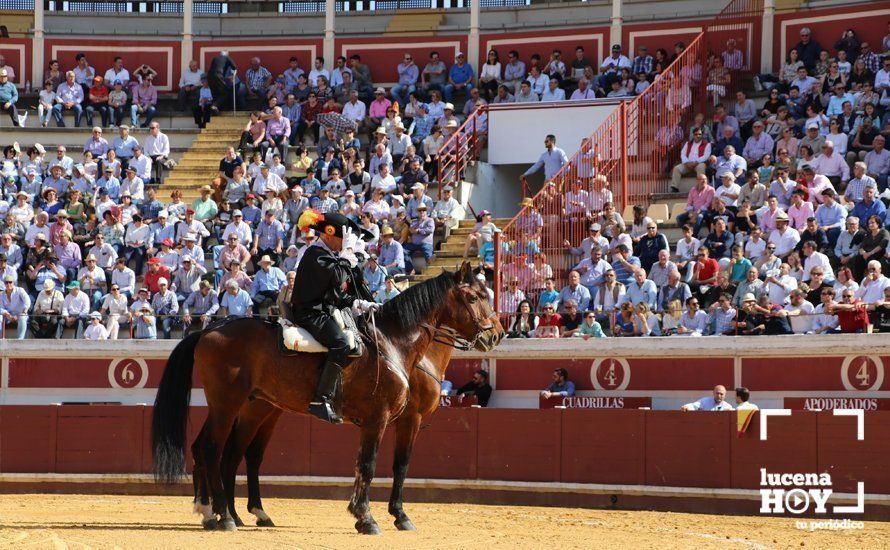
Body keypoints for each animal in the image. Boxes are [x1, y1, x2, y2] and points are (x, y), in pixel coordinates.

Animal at [149, 264, 502, 536]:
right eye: (475, 297)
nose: (496, 333)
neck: (394, 344)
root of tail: (209, 331)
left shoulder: (397, 420)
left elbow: (391, 465)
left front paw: (394, 516)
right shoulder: (384, 418)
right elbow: (371, 464)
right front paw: (367, 518)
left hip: (250, 408)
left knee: (222, 451)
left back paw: (217, 513)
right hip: (228, 405)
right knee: (214, 449)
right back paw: (224, 517)